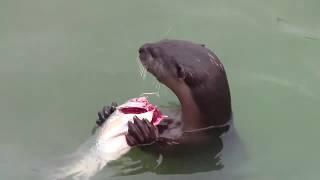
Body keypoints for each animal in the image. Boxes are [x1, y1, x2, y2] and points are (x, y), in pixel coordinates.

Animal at [96, 39, 231, 153]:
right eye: (163, 41)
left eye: (154, 54)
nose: (141, 48)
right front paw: (106, 112)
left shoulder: (187, 145)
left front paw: (144, 134)